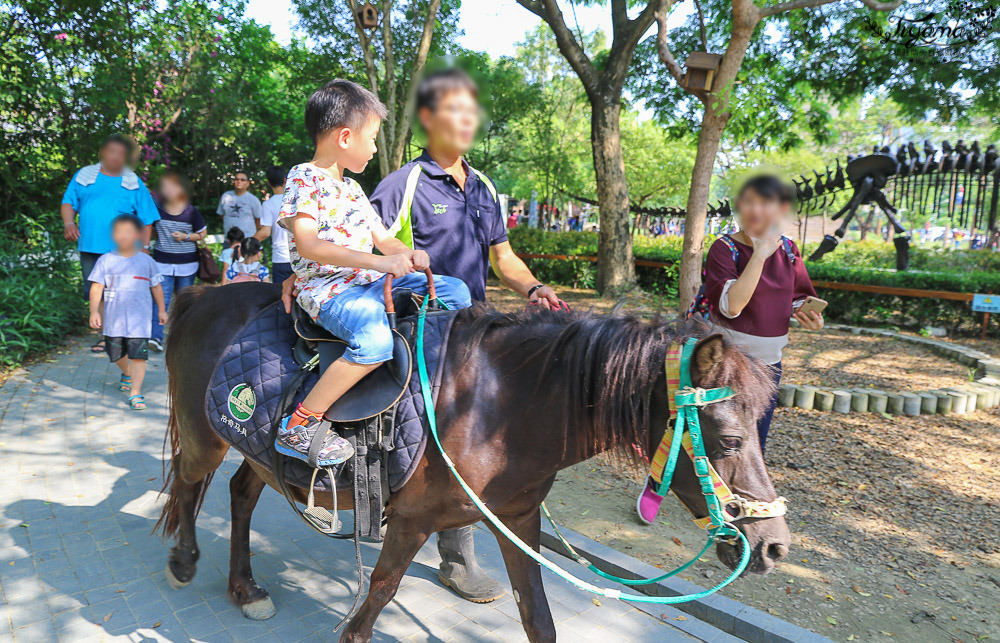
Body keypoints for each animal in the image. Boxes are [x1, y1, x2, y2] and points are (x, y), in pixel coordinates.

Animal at [158, 284, 788, 640]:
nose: (775, 545)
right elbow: (374, 602)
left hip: (260, 455)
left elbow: (538, 617)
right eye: (730, 440)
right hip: (205, 435)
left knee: (240, 493)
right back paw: (185, 562)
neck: (499, 407)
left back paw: (245, 588)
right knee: (189, 486)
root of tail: (198, 295)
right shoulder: (410, 521)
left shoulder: (516, 521)